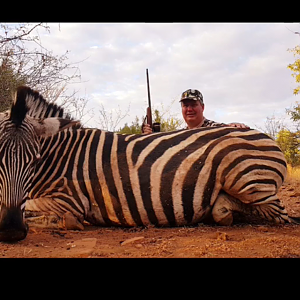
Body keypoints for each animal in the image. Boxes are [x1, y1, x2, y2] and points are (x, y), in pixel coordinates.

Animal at [0, 86, 298, 241]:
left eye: (35, 160)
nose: (11, 231)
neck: (60, 156)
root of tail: (267, 138)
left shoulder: (70, 200)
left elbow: (44, 212)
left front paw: (64, 223)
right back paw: (221, 210)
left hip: (248, 182)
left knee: (278, 214)